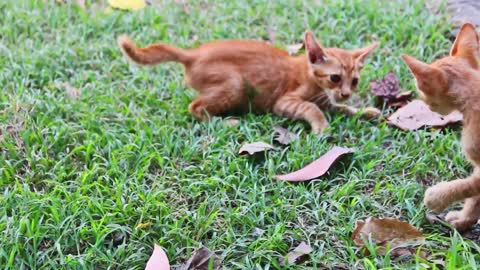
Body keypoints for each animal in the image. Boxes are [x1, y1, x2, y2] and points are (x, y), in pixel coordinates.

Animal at [118, 31, 380, 133]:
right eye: (335, 77)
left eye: (354, 81)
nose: (346, 93)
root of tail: (192, 54)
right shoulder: (285, 102)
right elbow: (311, 107)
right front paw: (321, 126)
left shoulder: (328, 101)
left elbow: (342, 109)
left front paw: (365, 111)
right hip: (235, 84)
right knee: (195, 107)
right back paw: (226, 123)